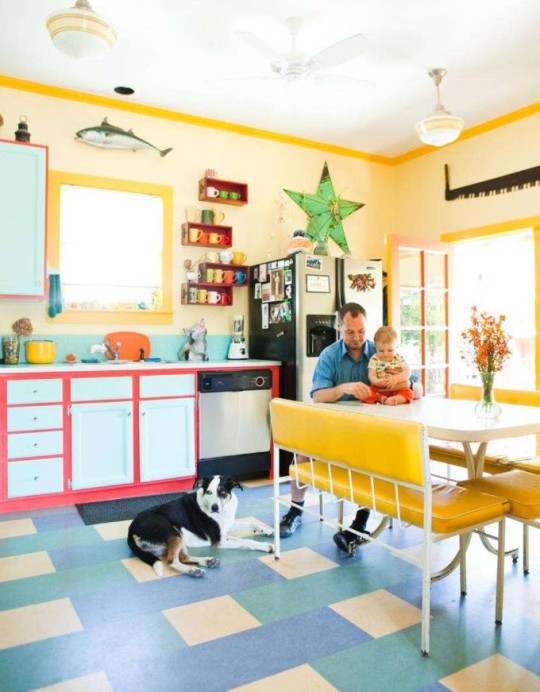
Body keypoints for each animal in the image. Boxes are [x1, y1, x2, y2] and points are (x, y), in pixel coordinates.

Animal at [126, 476, 274, 580]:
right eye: (208, 492)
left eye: (222, 492)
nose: (214, 508)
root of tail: (131, 528)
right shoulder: (220, 539)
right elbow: (247, 541)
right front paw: (266, 546)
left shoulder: (228, 526)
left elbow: (252, 523)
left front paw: (269, 531)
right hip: (173, 531)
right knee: (172, 560)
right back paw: (193, 570)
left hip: (179, 536)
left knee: (183, 557)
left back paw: (208, 561)